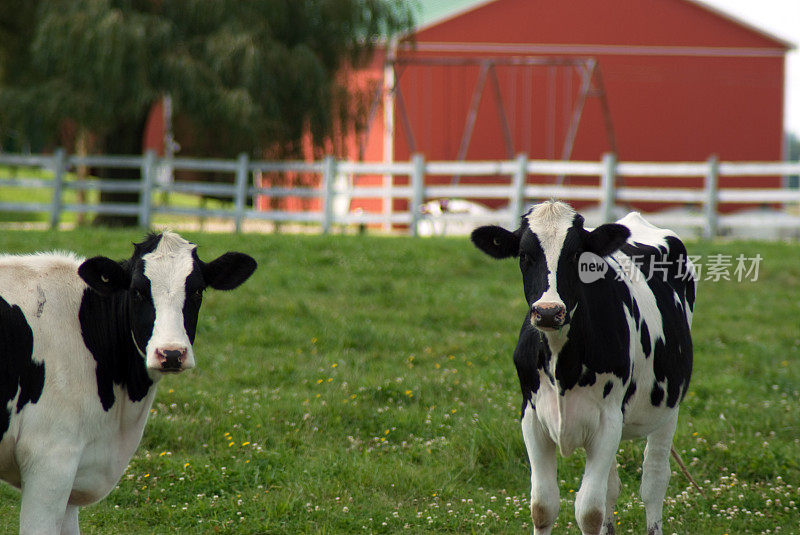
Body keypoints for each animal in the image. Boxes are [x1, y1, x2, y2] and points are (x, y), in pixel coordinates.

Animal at [472, 202, 692, 535]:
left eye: (576, 255)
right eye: (524, 255)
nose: (548, 312)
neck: (561, 361)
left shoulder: (608, 420)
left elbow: (589, 511)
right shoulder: (532, 417)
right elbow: (543, 506)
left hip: (667, 406)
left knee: (654, 480)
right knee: (612, 487)